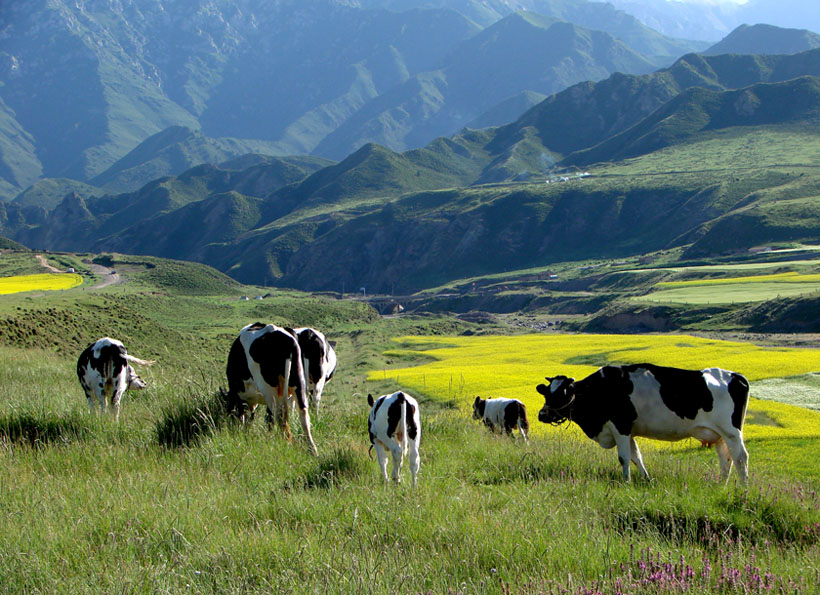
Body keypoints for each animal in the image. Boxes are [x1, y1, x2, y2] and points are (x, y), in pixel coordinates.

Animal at [221, 324, 318, 454]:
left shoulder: (239, 394)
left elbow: (243, 414)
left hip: (269, 389)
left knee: (273, 416)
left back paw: (273, 441)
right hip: (299, 383)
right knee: (303, 415)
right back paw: (312, 449)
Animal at [540, 364, 748, 484]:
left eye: (562, 393)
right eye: (547, 392)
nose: (542, 414)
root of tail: (734, 375)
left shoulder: (620, 426)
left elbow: (624, 458)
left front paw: (626, 482)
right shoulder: (628, 431)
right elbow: (636, 456)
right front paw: (646, 479)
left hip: (732, 431)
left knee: (741, 458)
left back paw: (743, 490)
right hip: (718, 435)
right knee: (726, 460)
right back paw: (720, 486)